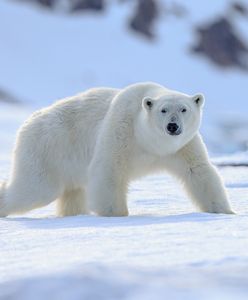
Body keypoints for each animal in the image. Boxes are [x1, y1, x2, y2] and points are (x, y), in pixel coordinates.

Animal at [0, 82, 232, 217]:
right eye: (163, 110)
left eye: (184, 109)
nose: (173, 126)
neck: (150, 142)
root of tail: (28, 121)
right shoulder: (121, 129)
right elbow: (109, 170)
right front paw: (116, 215)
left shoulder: (183, 147)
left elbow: (198, 171)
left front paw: (224, 211)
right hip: (46, 151)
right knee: (35, 189)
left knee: (72, 193)